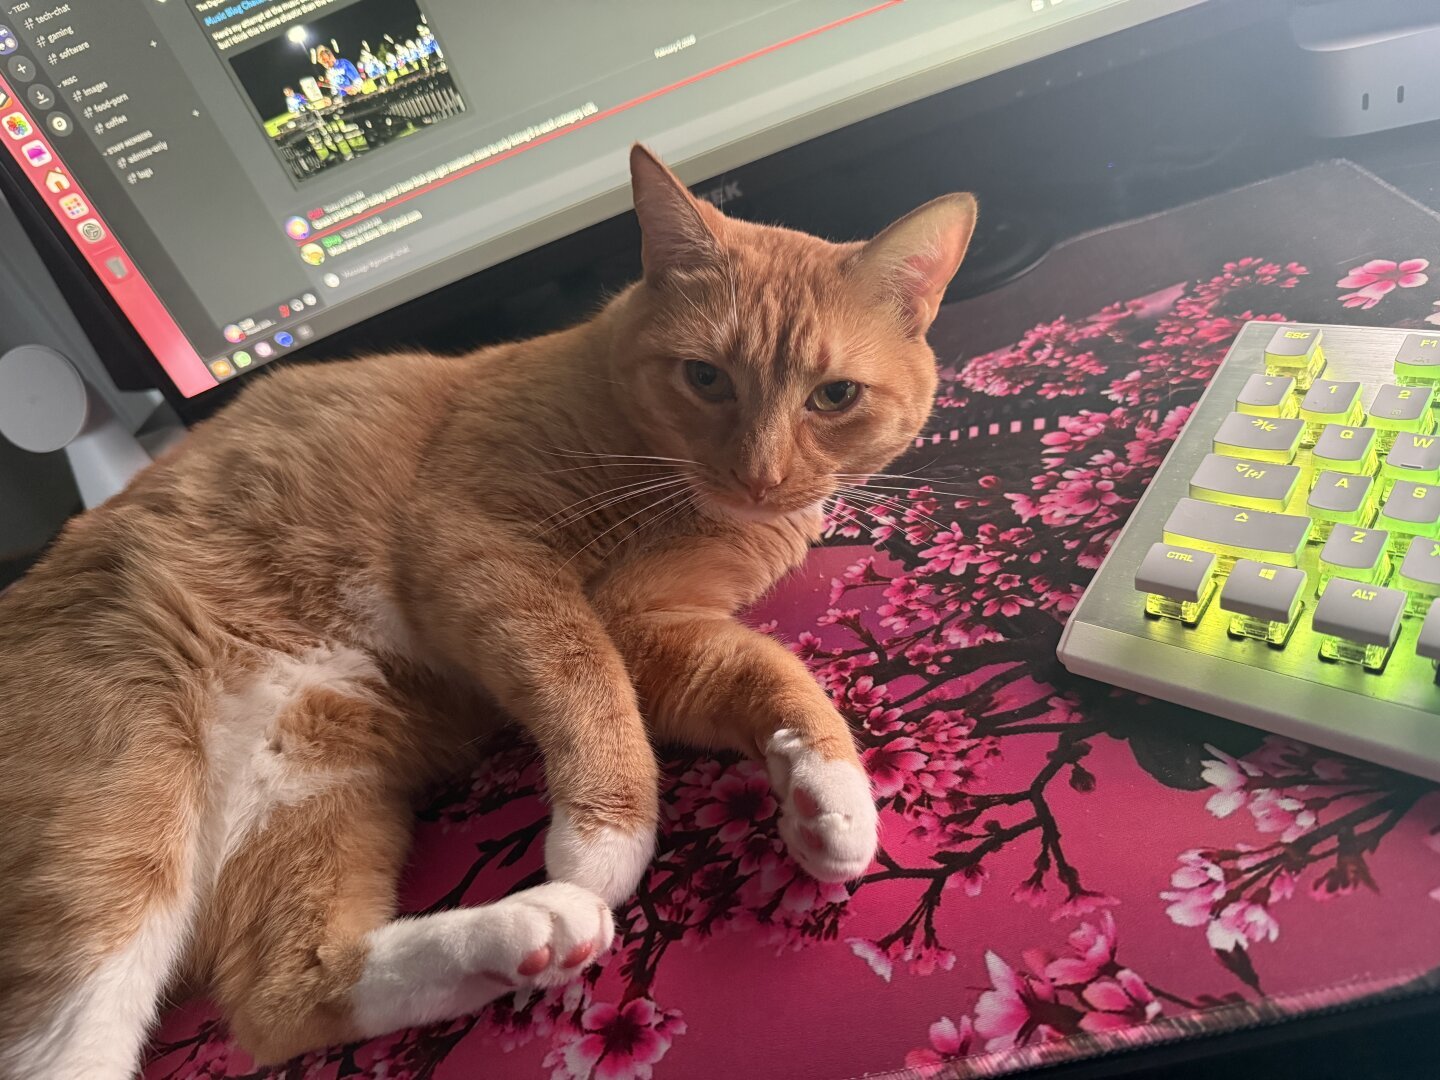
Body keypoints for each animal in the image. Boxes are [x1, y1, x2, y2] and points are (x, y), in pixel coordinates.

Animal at [0, 146, 979, 1080]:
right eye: (705, 377)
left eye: (834, 396)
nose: (760, 477)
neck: (657, 481)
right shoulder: (482, 550)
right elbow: (586, 682)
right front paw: (604, 837)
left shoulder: (656, 627)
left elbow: (768, 669)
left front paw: (828, 795)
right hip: (123, 799)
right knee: (59, 1045)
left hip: (310, 781)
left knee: (283, 997)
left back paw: (526, 932)